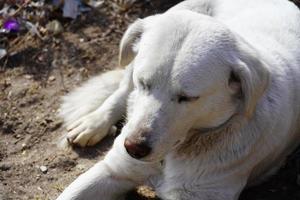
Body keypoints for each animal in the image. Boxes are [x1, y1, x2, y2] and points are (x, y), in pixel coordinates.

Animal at [56, 0, 300, 199]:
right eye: (143, 83)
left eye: (187, 98)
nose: (133, 148)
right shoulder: (113, 170)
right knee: (122, 91)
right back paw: (93, 123)